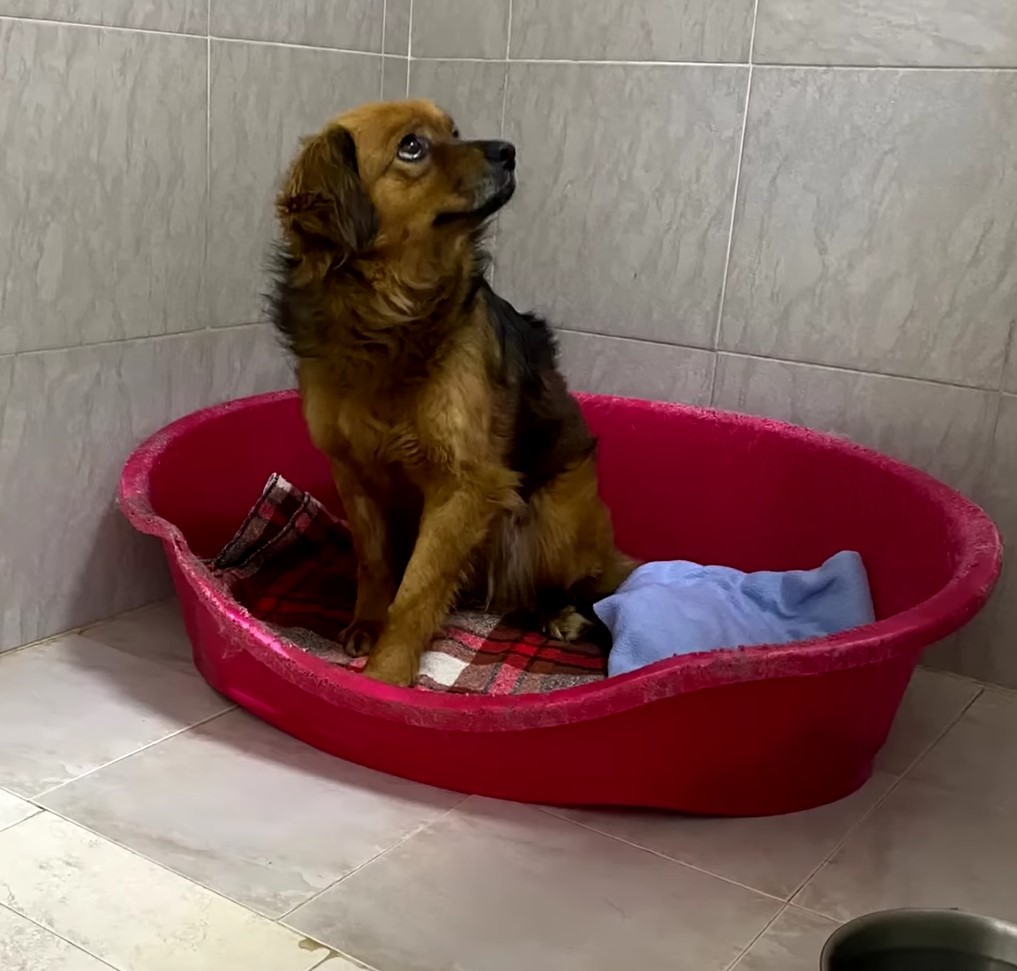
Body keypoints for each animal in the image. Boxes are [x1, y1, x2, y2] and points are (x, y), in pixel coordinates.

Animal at [270, 98, 634, 687]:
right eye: (412, 146)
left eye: (455, 131)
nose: (509, 150)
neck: (387, 316)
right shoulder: (353, 472)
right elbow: (376, 563)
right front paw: (366, 627)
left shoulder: (464, 486)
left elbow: (416, 592)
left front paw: (386, 675)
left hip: (553, 523)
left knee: (577, 586)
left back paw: (561, 613)